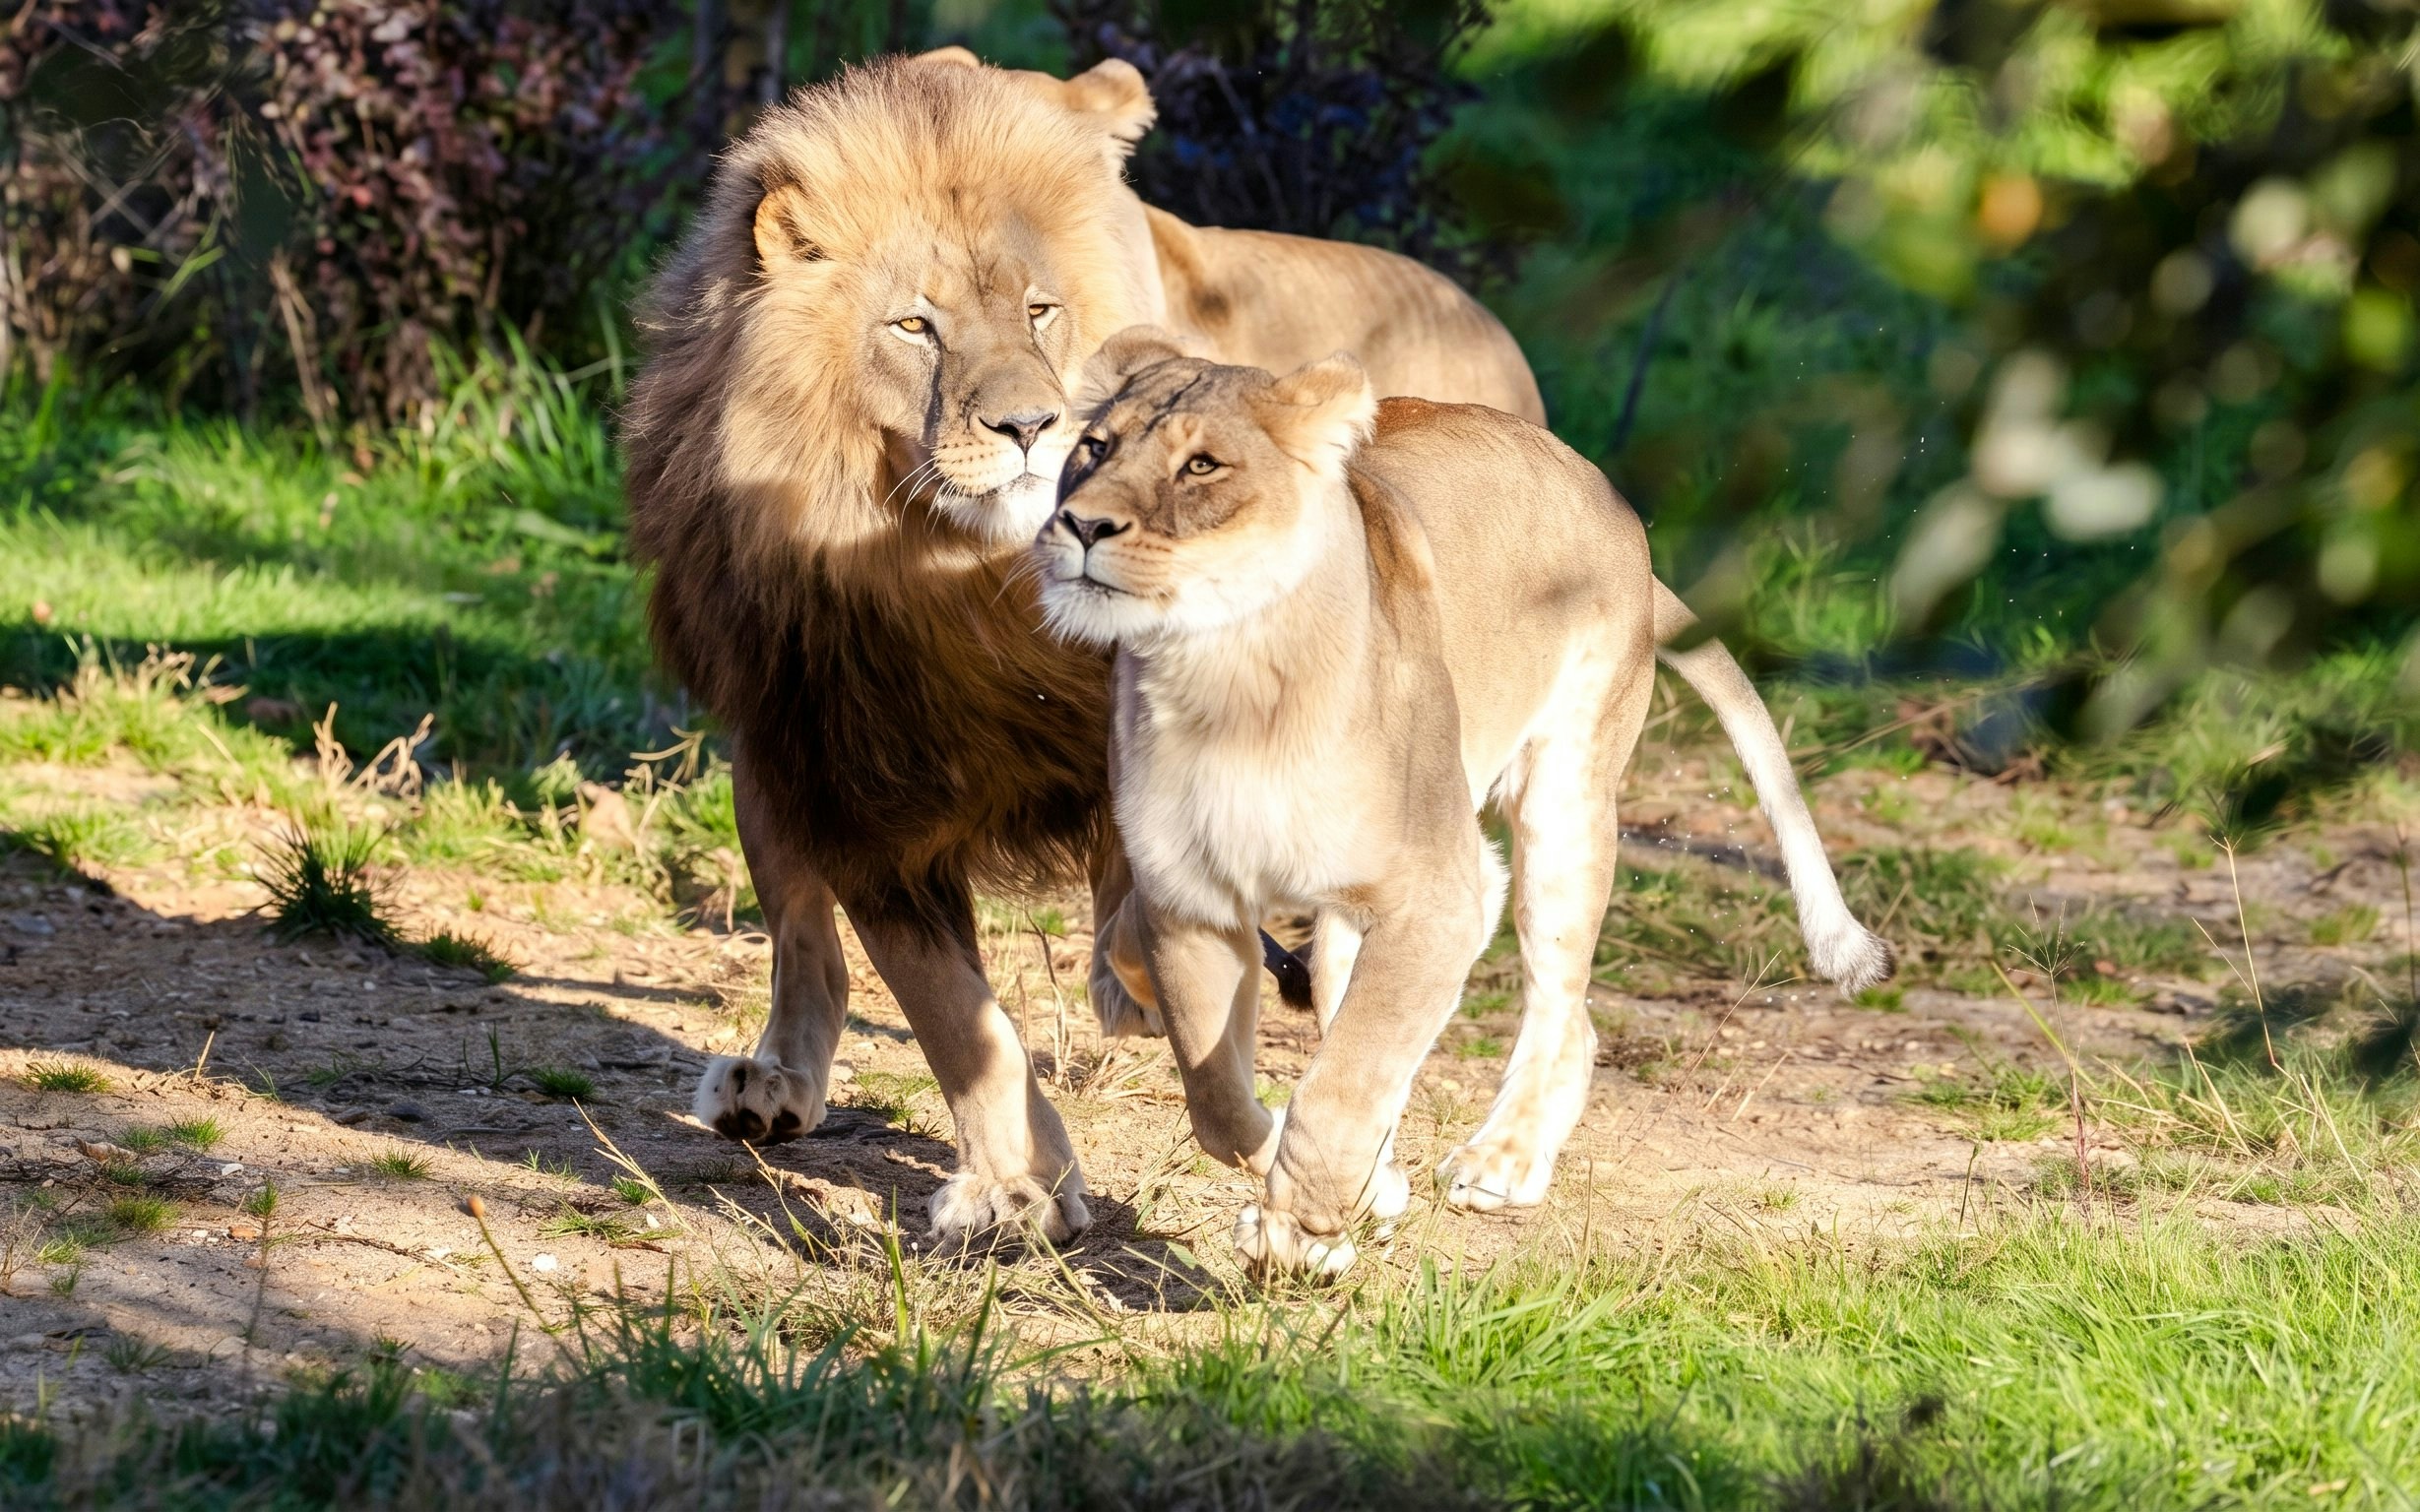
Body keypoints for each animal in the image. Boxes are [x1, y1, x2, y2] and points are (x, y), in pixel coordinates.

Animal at [621, 52, 1540, 1244]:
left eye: (1038, 310)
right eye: (914, 326)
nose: (1031, 426)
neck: (951, 580)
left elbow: (1158, 927)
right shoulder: (862, 782)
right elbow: (951, 1009)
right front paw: (1018, 1186)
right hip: (773, 755)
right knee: (799, 933)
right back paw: (773, 1080)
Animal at [1034, 331, 1894, 1274]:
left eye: (1201, 466)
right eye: (1094, 447)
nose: (1082, 524)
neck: (1227, 675)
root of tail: (1615, 506)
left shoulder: (1439, 893)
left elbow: (1342, 1086)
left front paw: (1304, 1229)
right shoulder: (1191, 901)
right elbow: (1221, 1098)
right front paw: (1346, 1196)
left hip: (1561, 806)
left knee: (1564, 1009)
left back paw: (1504, 1161)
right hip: (1359, 912)